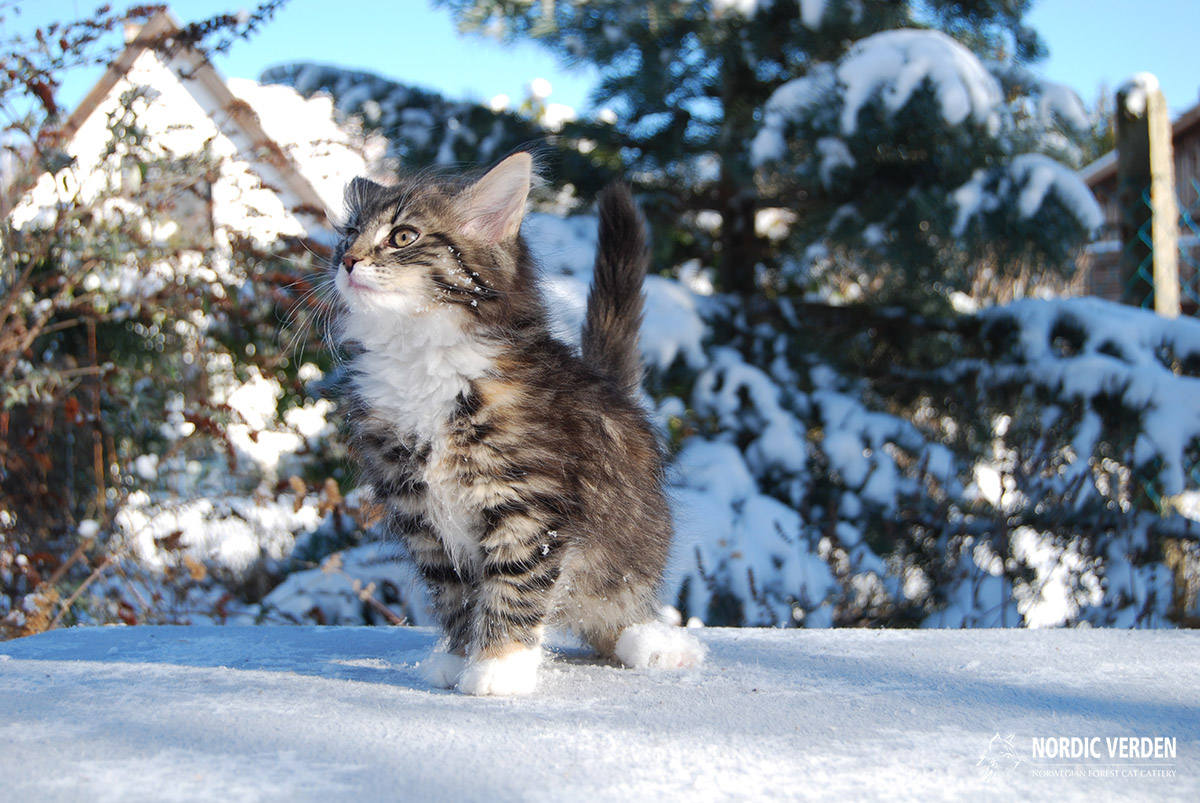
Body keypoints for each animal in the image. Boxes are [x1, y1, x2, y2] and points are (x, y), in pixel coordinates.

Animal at [332, 152, 703, 695]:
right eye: (348, 234)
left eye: (402, 236)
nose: (347, 261)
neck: (421, 357)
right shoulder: (420, 514)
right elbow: (456, 595)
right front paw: (459, 656)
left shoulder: (529, 503)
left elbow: (515, 583)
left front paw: (499, 664)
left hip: (624, 547)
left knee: (617, 608)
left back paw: (654, 643)